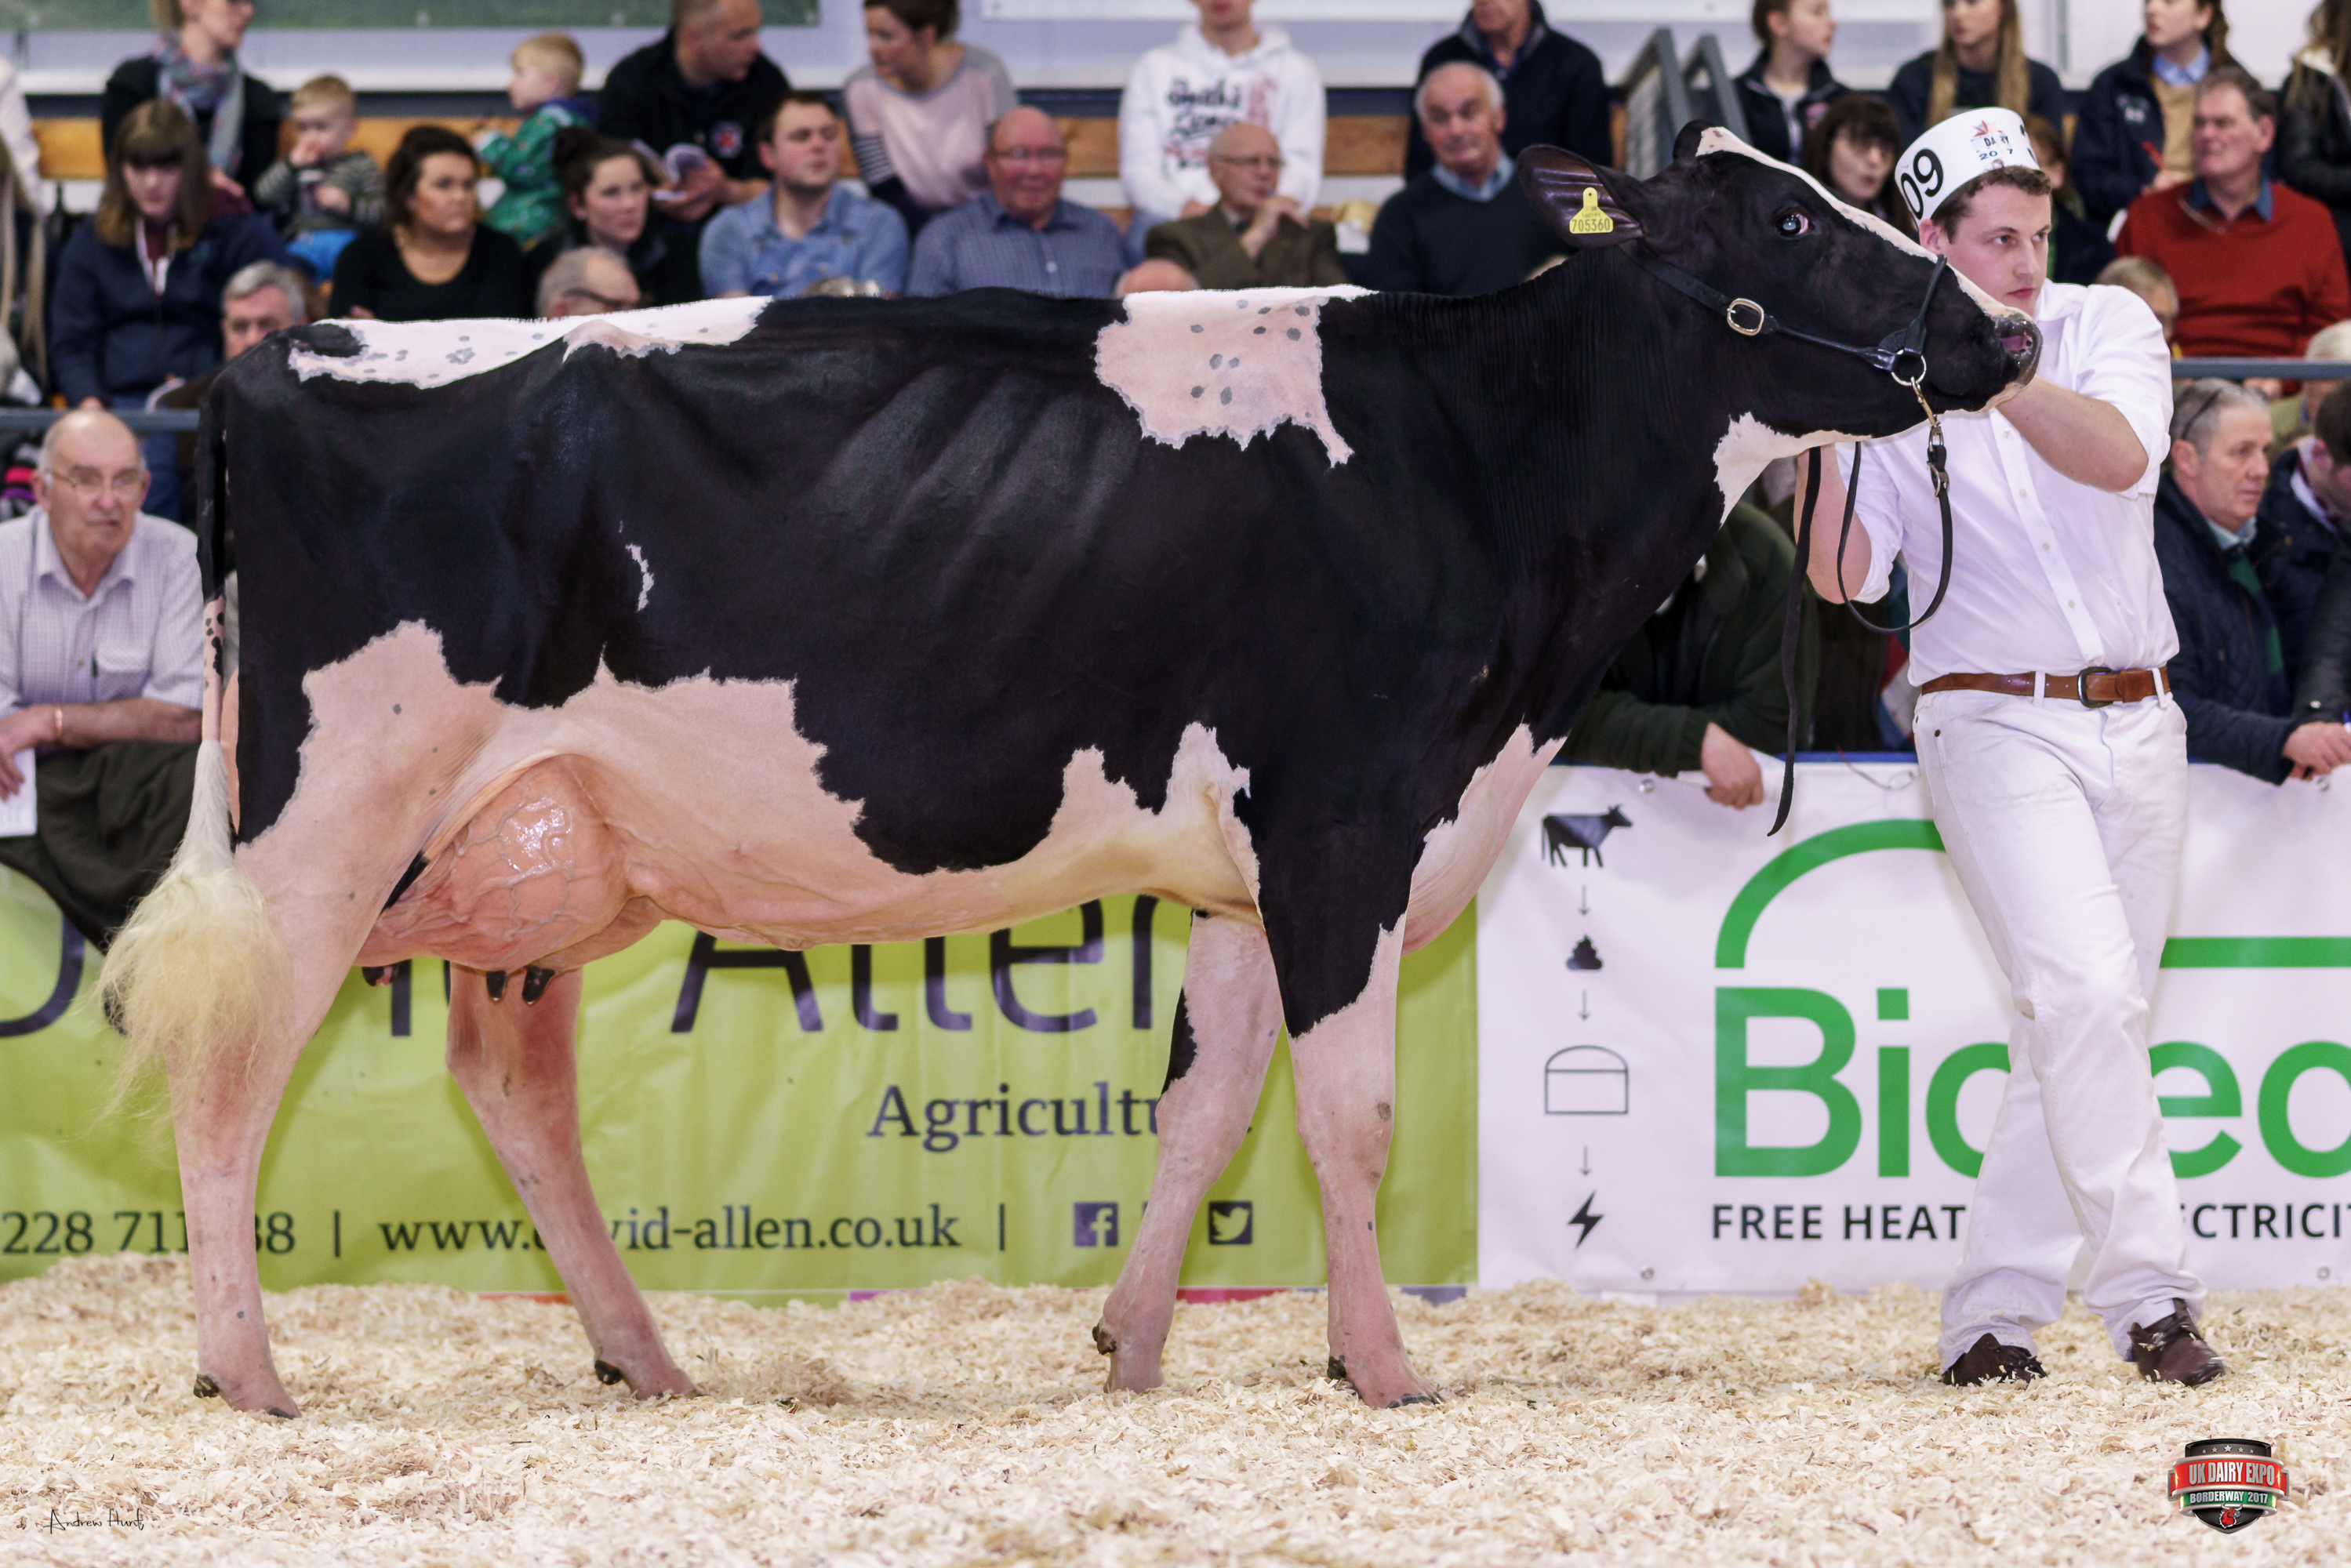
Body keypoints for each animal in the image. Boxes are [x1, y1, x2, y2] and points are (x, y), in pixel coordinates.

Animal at [101, 126, 2036, 1418]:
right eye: (1787, 214)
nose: (2003, 335)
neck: (1477, 454)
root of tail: (283, 351)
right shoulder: (1343, 819)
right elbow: (1344, 1114)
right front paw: (1381, 1365)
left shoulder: (1254, 867)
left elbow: (1202, 1105)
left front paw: (1133, 1343)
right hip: (325, 821)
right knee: (227, 1076)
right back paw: (245, 1370)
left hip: (534, 849)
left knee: (514, 1090)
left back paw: (641, 1354)